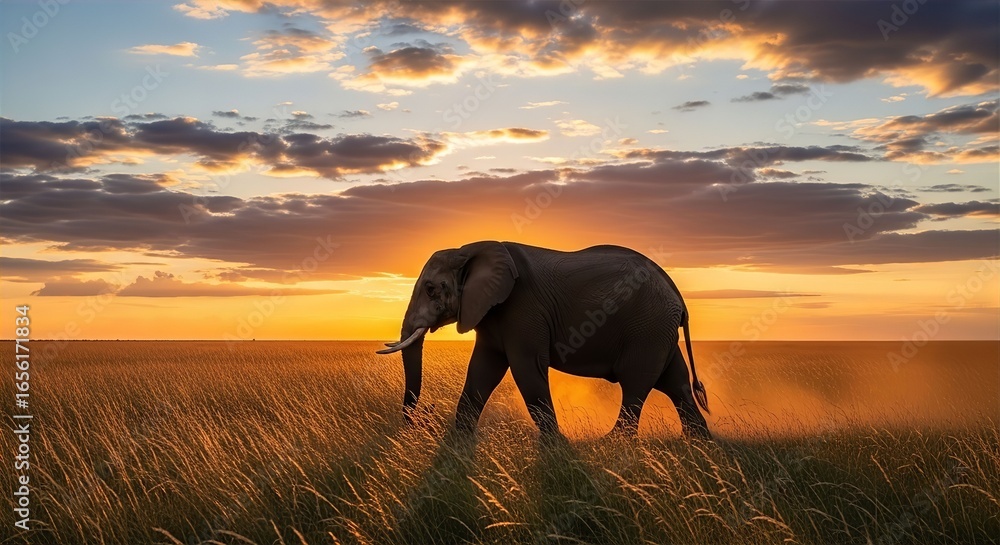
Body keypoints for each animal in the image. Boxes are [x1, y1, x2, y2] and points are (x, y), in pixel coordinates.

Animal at [377, 241, 711, 439]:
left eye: (431, 289)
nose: (428, 412)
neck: (470, 249)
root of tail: (676, 293)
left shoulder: (523, 309)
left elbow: (527, 371)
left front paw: (557, 448)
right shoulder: (491, 312)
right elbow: (482, 371)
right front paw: (459, 442)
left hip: (647, 329)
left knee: (636, 385)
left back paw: (611, 445)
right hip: (658, 331)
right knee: (676, 384)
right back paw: (700, 446)